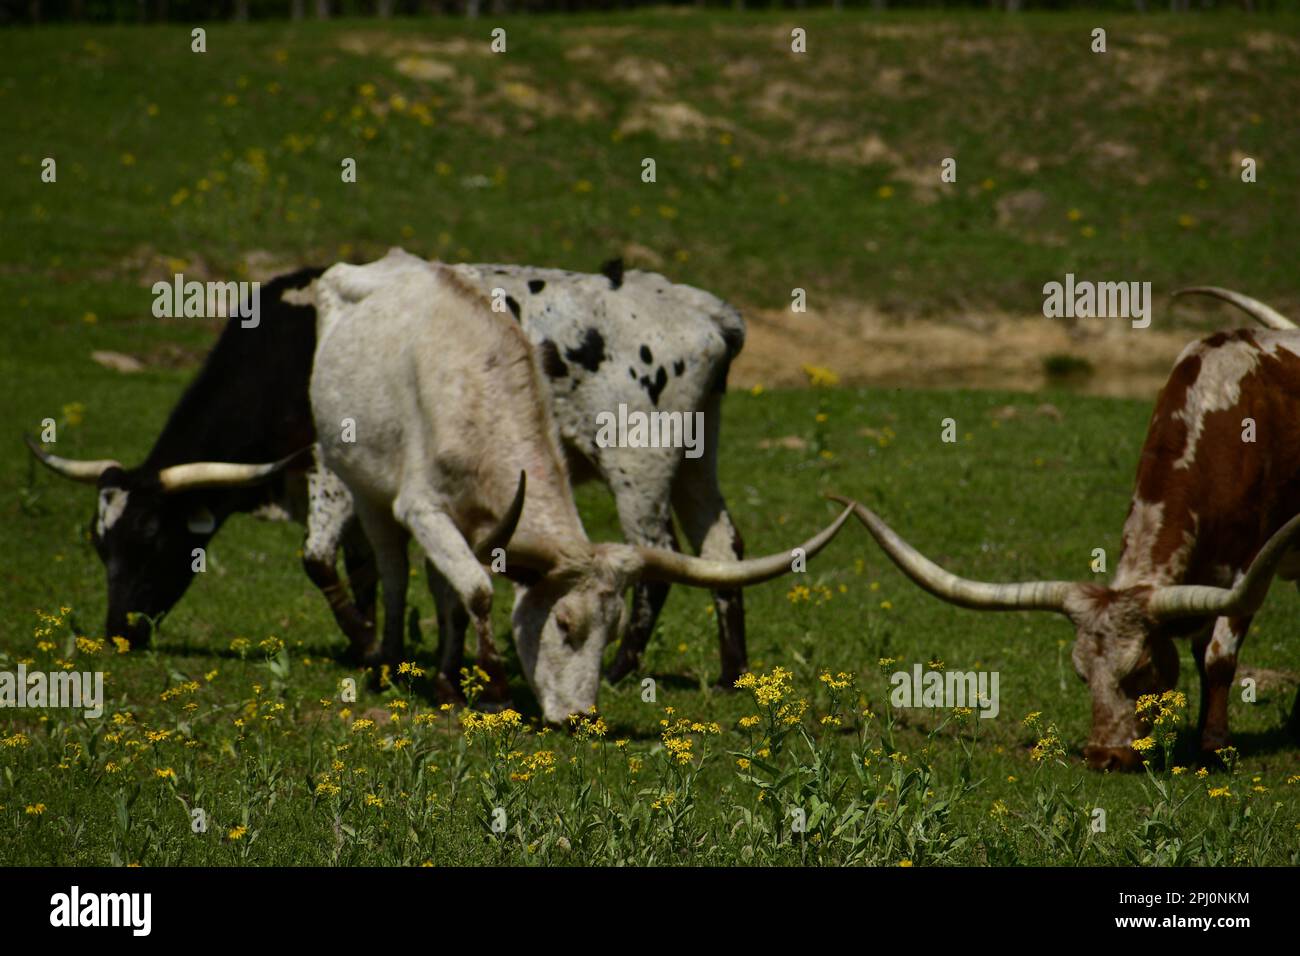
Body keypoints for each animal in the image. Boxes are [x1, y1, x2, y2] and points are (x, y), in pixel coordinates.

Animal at [27, 269, 379, 650]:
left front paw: (365, 639)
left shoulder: (336, 478)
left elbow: (318, 560)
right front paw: (370, 644)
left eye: (153, 539)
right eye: (99, 543)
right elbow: (364, 566)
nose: (119, 633)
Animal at [306, 251, 852, 723]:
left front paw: (462, 681)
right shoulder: (426, 508)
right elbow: (469, 588)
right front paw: (474, 682)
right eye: (564, 624)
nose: (579, 717)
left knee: (680, 551)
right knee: (394, 568)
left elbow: (454, 588)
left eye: (603, 631)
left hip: (653, 464)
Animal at [832, 290, 1300, 770]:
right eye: (1081, 674)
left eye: (1140, 669)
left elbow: (1218, 659)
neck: (1218, 427)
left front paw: (1215, 745)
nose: (1103, 755)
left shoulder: (1251, 563)